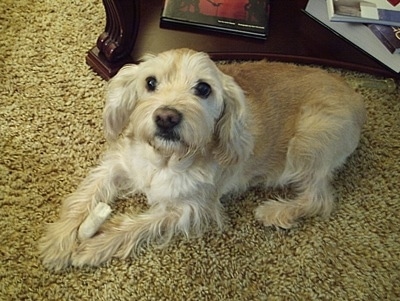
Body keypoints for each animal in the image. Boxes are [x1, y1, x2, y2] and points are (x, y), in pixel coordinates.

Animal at [39, 48, 368, 268]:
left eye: (203, 88)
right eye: (150, 82)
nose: (166, 117)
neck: (165, 159)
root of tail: (355, 96)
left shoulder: (189, 208)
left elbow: (135, 226)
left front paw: (93, 248)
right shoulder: (119, 166)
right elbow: (85, 197)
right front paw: (58, 242)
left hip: (307, 142)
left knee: (320, 198)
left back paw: (276, 211)